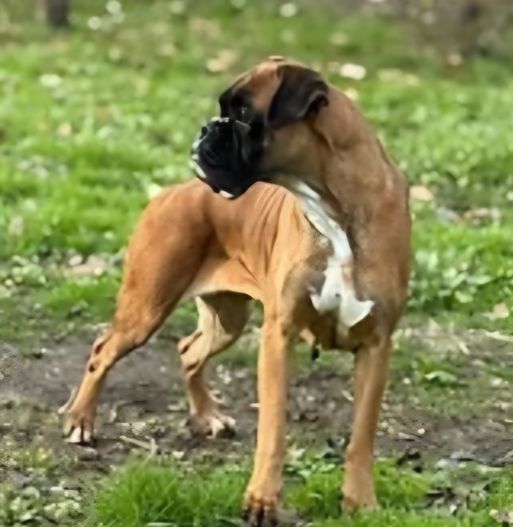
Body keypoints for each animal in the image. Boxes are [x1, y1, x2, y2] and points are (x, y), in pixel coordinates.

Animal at [60, 57, 411, 525]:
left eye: (243, 113)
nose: (207, 127)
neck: (333, 210)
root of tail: (174, 191)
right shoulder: (279, 336)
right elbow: (273, 430)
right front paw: (261, 500)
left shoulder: (376, 345)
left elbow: (362, 436)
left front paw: (360, 503)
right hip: (147, 307)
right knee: (104, 349)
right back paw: (81, 420)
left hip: (228, 321)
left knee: (188, 350)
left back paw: (207, 416)